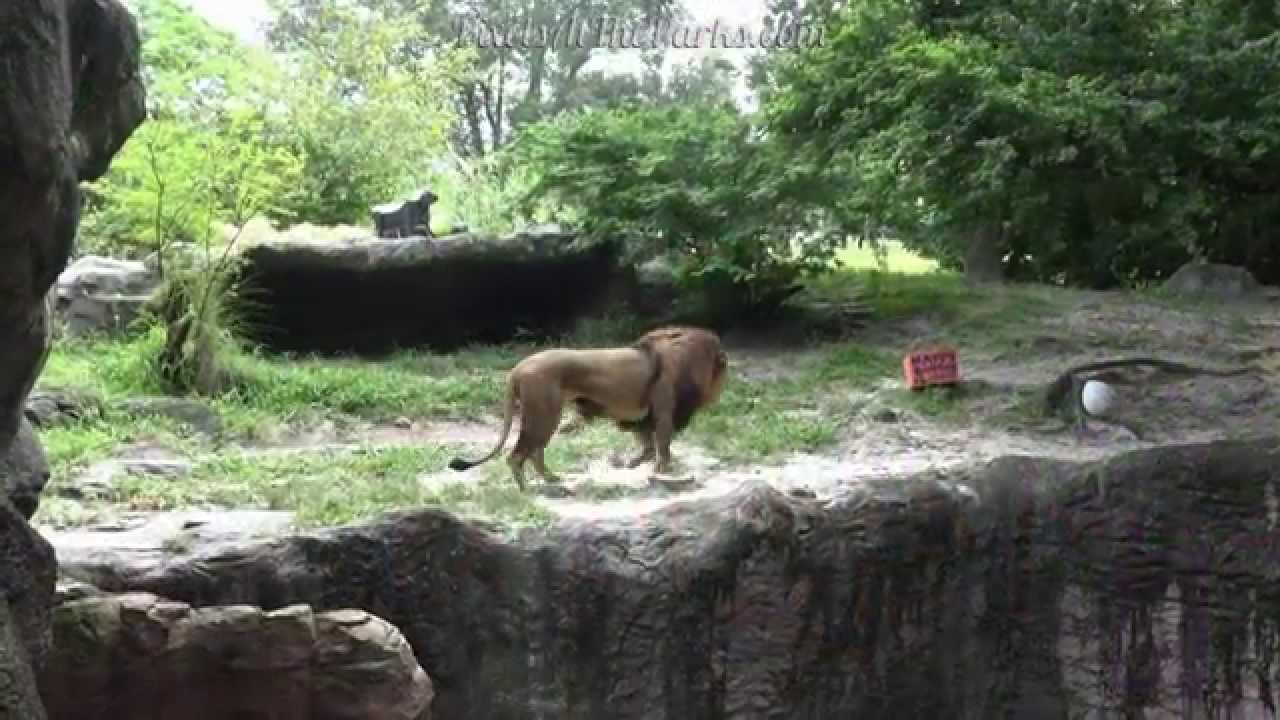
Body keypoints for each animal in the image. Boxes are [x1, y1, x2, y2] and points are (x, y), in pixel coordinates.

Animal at [447, 326, 729, 490]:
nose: (725, 364)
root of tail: (517, 368)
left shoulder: (643, 416)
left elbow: (647, 444)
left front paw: (632, 464)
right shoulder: (664, 413)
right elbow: (663, 447)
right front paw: (661, 472)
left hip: (546, 415)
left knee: (535, 452)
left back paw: (552, 479)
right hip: (543, 414)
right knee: (517, 456)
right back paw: (526, 490)